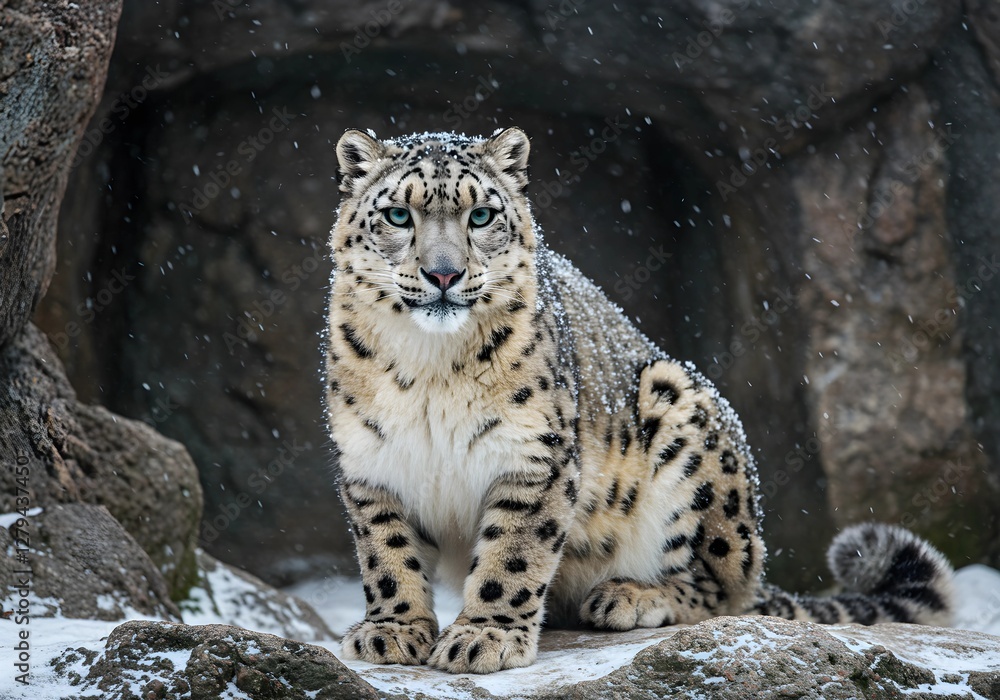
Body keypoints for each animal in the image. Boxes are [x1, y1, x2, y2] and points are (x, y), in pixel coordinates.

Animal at [324, 126, 954, 674]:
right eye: (398, 215)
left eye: (480, 215)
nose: (444, 274)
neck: (430, 371)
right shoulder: (371, 461)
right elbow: (387, 552)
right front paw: (393, 629)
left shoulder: (534, 455)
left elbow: (514, 553)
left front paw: (485, 636)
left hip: (686, 420)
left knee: (721, 589)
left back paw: (630, 596)